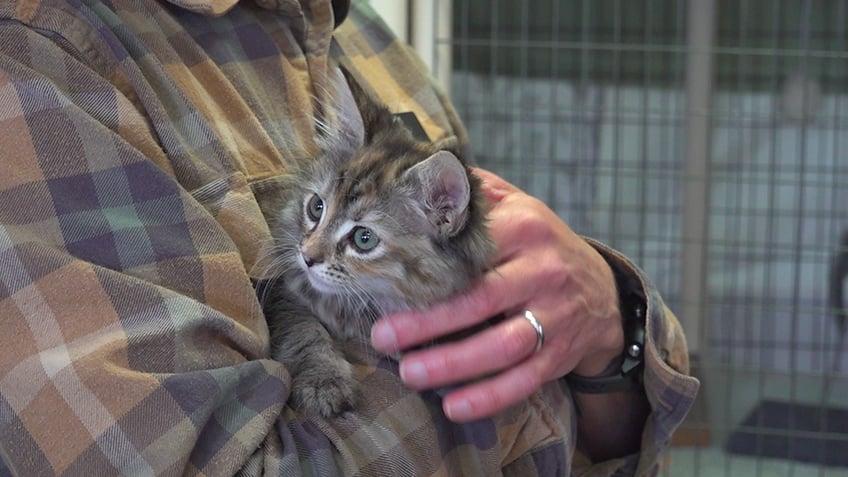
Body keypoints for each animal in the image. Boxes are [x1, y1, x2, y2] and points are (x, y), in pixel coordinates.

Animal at [260, 69, 496, 414]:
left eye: (364, 239)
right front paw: (323, 381)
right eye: (316, 207)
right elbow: (304, 331)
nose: (307, 257)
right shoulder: (286, 295)